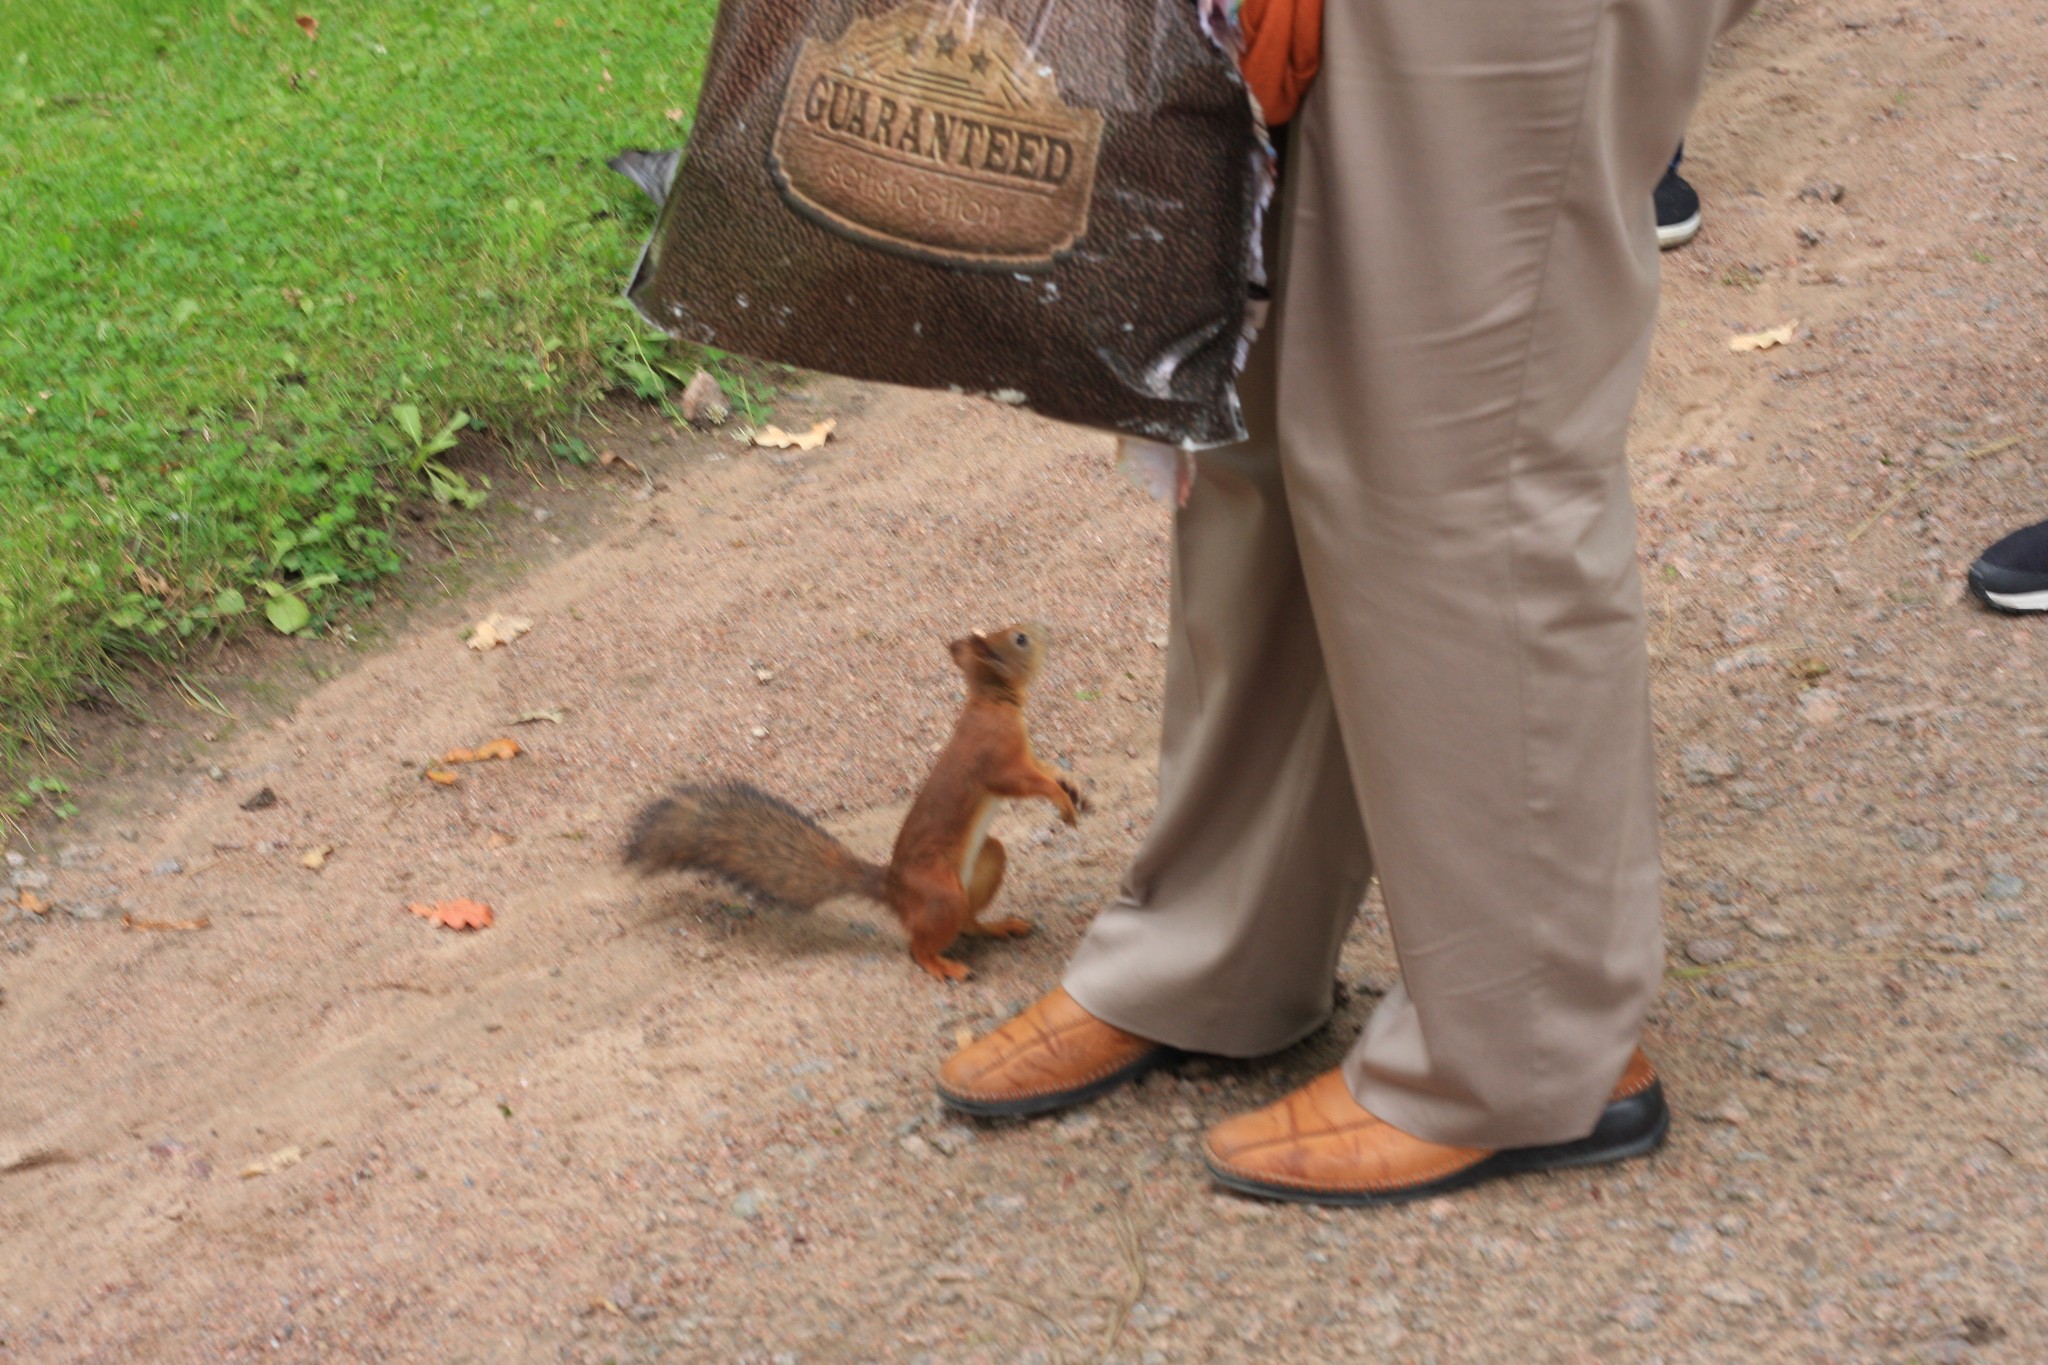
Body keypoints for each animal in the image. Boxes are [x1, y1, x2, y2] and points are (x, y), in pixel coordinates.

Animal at [622, 626, 1081, 978]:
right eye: (1020, 638)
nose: (1043, 628)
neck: (991, 702)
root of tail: (895, 892)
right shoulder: (999, 761)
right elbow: (1024, 782)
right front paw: (1063, 802)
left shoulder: (1025, 756)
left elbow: (1044, 767)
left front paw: (1068, 783)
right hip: (943, 893)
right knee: (920, 946)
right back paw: (944, 968)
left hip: (985, 863)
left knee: (968, 923)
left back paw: (1000, 927)